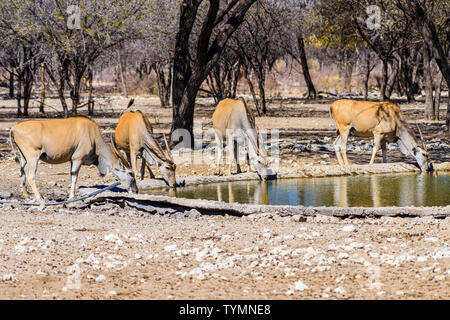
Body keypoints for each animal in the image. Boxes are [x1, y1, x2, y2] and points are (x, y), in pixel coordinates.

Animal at [9, 115, 137, 202]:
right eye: (131, 173)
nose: (135, 190)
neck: (93, 136)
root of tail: (14, 128)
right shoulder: (77, 158)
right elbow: (74, 176)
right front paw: (72, 197)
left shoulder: (72, 160)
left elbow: (71, 176)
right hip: (33, 157)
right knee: (30, 175)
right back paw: (40, 198)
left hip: (24, 158)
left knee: (22, 173)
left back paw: (27, 196)